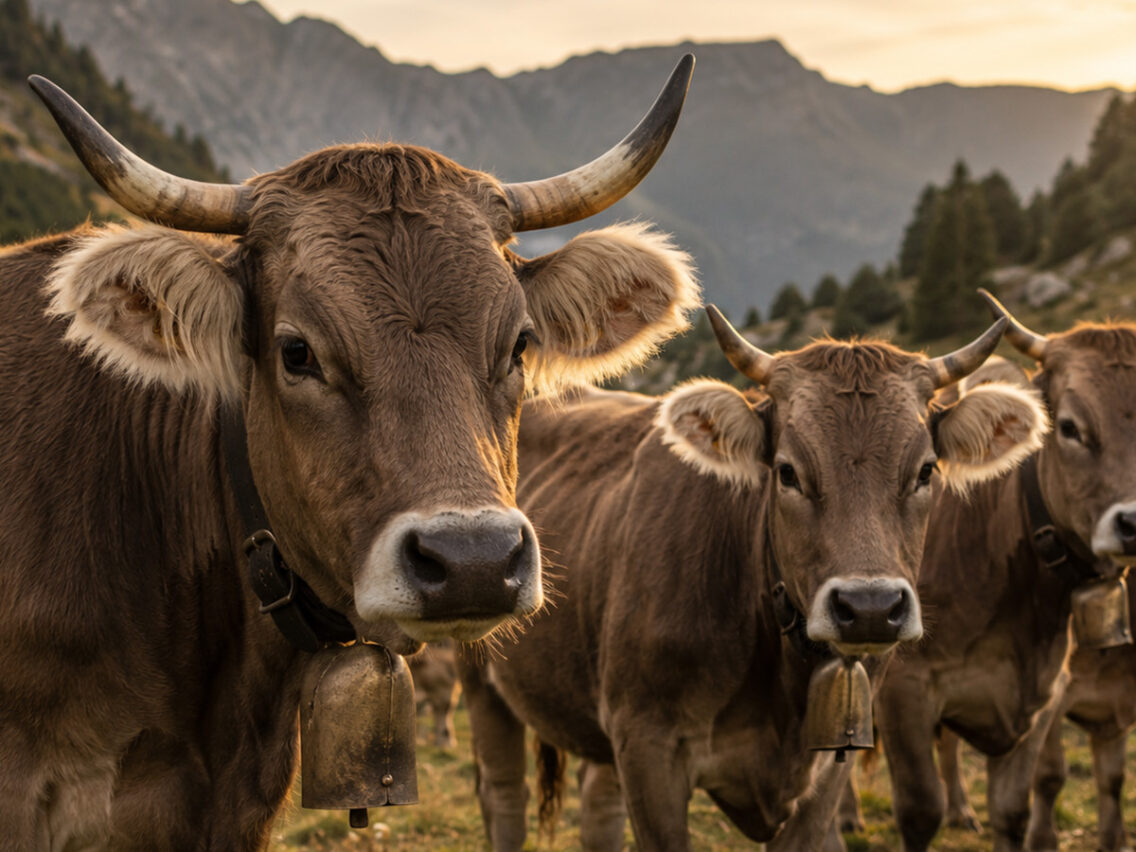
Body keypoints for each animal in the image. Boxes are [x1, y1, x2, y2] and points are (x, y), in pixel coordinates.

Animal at [459, 306, 1048, 851]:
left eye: (926, 470)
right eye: (787, 472)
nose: (871, 608)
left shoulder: (828, 770)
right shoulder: (647, 747)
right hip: (484, 679)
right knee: (504, 798)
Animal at [874, 293, 1136, 852]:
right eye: (1069, 427)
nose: (1134, 523)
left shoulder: (1039, 698)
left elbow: (1015, 809)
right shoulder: (904, 690)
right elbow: (919, 810)